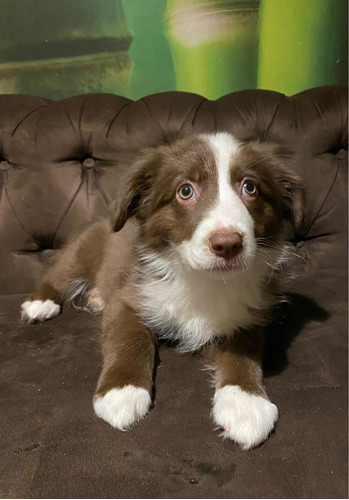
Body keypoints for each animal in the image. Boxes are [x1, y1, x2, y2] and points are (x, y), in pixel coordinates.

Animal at [21, 132, 302, 450]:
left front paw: (245, 403)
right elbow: (130, 338)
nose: (228, 244)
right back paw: (41, 302)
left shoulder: (248, 313)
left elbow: (242, 352)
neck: (200, 279)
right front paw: (122, 390)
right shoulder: (130, 295)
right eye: (185, 191)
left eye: (250, 187)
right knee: (58, 274)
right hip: (83, 250)